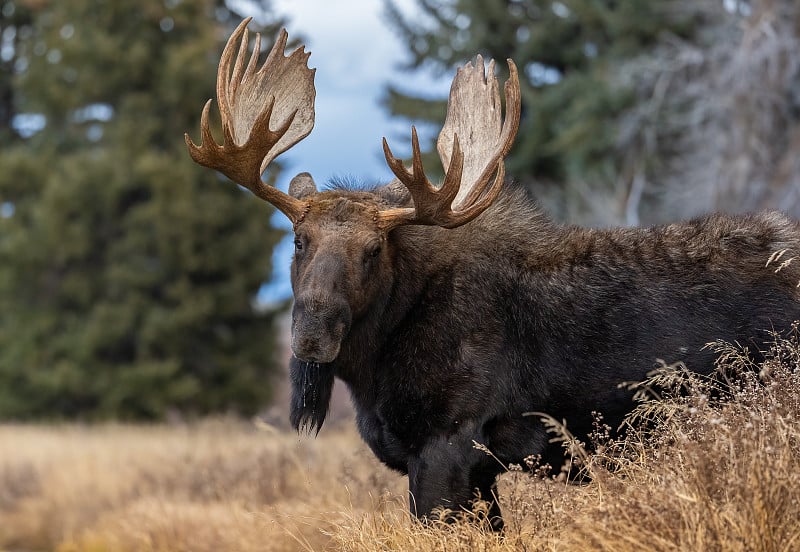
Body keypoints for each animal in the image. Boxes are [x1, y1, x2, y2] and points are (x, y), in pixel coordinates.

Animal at [184, 19, 800, 532]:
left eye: (373, 250)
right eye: (299, 240)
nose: (313, 334)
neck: (374, 369)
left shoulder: (450, 444)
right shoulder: (476, 471)